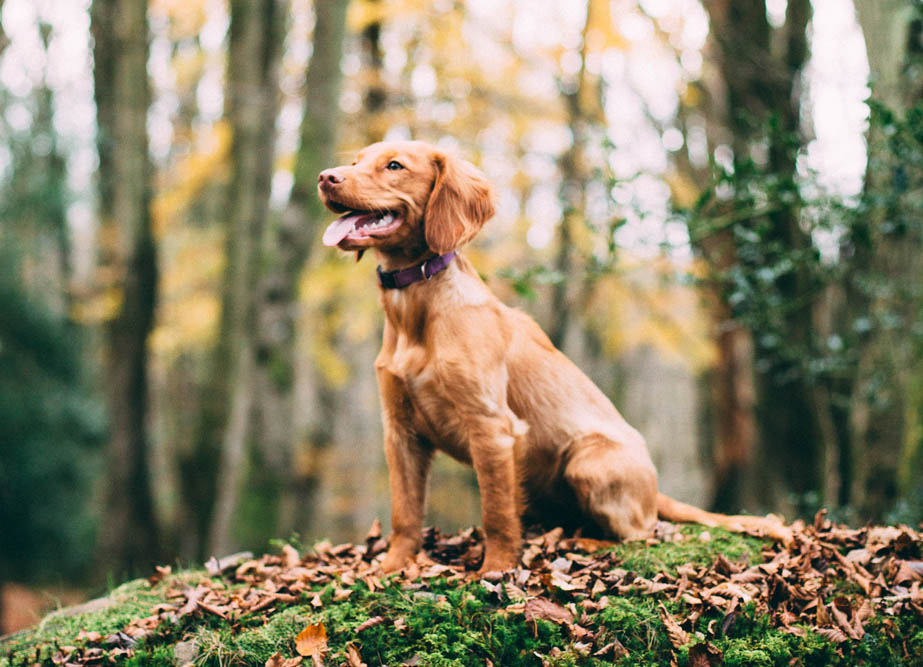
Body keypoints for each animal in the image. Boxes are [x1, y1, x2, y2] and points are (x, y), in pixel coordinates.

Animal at [316, 141, 788, 576]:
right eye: (356, 161)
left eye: (394, 165)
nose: (325, 176)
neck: (416, 309)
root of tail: (656, 489)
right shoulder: (400, 431)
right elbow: (406, 511)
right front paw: (392, 567)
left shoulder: (491, 426)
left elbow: (496, 512)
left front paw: (494, 571)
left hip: (589, 462)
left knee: (642, 532)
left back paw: (586, 543)